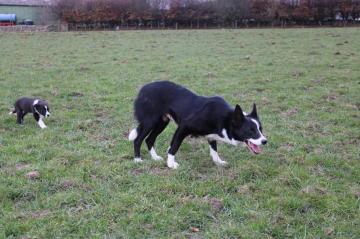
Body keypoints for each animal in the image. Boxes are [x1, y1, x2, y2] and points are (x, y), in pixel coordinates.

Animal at [128, 81, 266, 169]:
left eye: (260, 129)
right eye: (250, 130)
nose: (265, 141)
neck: (225, 118)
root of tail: (143, 89)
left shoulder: (211, 135)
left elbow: (214, 150)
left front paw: (218, 162)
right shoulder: (183, 126)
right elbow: (174, 147)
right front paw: (171, 164)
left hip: (162, 122)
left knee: (149, 139)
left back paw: (155, 158)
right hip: (150, 122)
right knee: (138, 140)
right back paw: (137, 159)